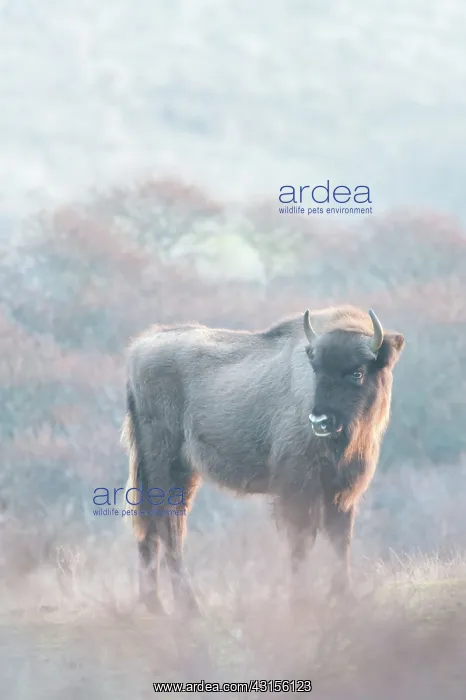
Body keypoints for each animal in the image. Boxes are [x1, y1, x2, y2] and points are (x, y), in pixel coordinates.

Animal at [121, 305, 404, 613]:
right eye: (316, 369)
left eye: (357, 372)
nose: (320, 420)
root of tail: (140, 348)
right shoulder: (298, 489)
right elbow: (301, 542)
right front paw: (299, 600)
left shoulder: (340, 493)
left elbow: (339, 542)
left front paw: (343, 597)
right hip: (166, 465)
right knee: (168, 526)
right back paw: (189, 608)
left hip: (173, 471)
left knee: (151, 527)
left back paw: (155, 605)